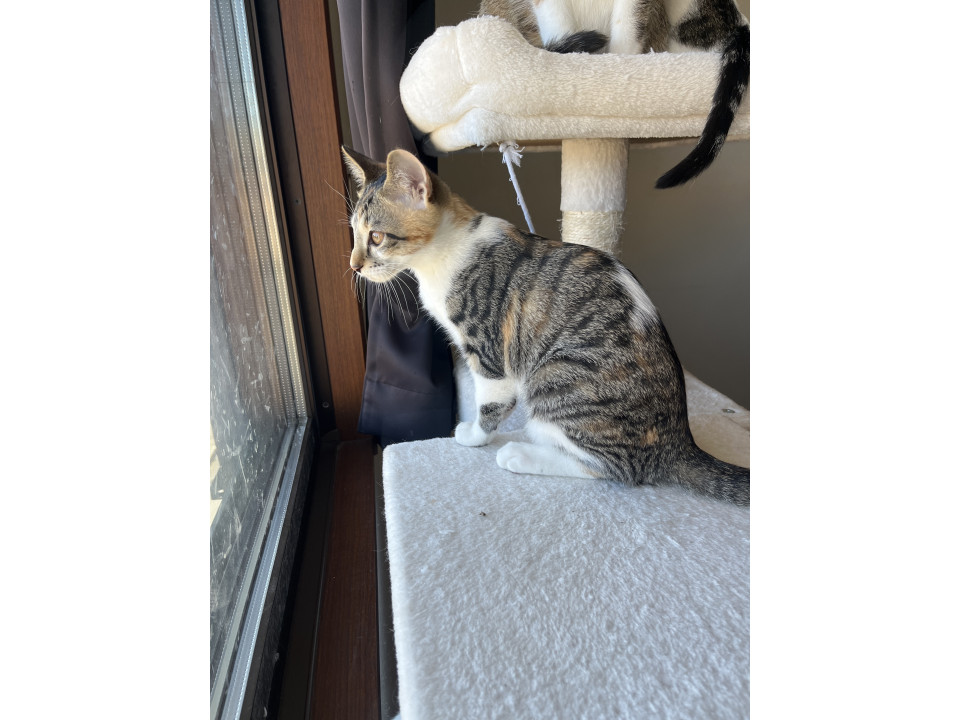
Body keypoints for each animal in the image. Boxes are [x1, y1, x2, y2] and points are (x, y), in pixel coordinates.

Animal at [342, 145, 749, 505]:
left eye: (377, 237)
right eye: (355, 235)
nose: (354, 266)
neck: (446, 251)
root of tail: (678, 441)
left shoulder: (488, 348)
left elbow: (493, 402)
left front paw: (474, 435)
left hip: (556, 378)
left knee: (615, 467)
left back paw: (521, 455)